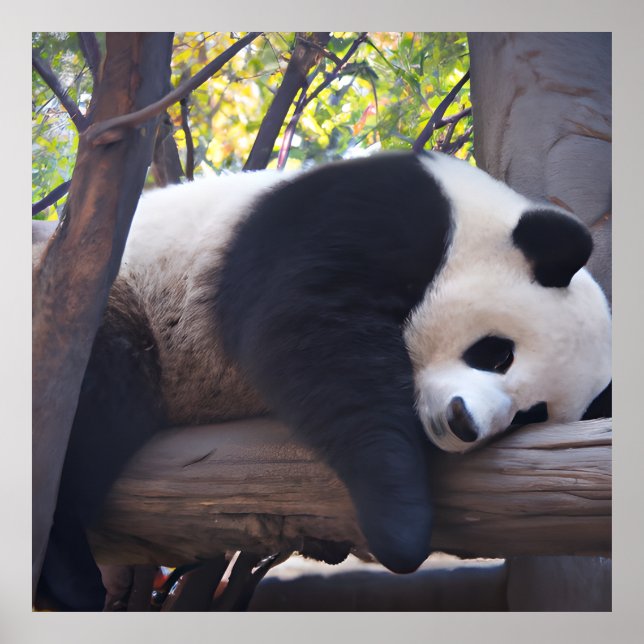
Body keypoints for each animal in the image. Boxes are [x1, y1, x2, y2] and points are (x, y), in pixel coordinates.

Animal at [37, 151, 612, 610]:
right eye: (496, 354)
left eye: (531, 416)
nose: (462, 423)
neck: (471, 223)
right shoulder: (364, 214)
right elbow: (307, 327)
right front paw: (401, 521)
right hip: (112, 299)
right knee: (91, 404)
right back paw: (70, 576)